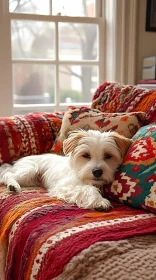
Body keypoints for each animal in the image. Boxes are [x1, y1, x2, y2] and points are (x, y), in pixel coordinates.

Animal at [0, 130, 133, 211]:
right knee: (7, 175)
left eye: (108, 156)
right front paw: (99, 201)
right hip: (29, 170)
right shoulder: (64, 186)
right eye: (86, 155)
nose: (97, 171)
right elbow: (88, 188)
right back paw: (13, 186)